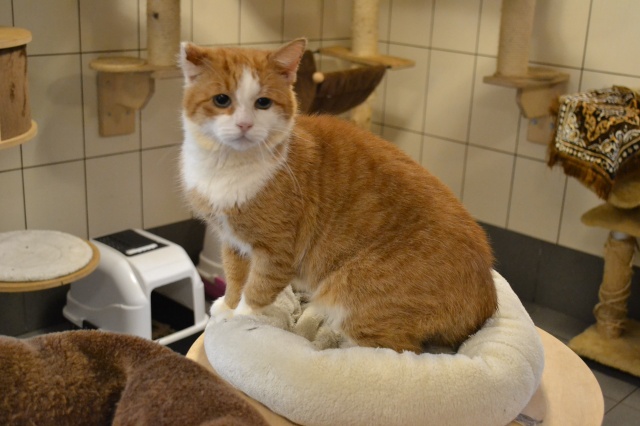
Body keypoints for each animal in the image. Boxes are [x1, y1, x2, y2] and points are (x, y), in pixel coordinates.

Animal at [179, 38, 497, 353]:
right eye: (222, 100)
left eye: (263, 103)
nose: (244, 125)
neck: (227, 166)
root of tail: (487, 303)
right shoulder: (233, 242)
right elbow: (235, 278)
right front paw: (226, 307)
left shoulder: (276, 252)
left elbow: (256, 290)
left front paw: (239, 318)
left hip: (356, 297)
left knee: (397, 350)